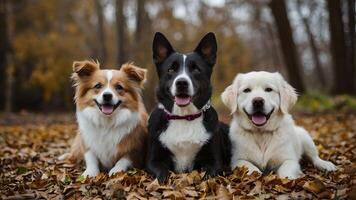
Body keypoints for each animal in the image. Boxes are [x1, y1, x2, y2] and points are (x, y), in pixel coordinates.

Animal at [146, 32, 229, 182]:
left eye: (196, 69)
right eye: (171, 69)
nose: (182, 83)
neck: (183, 116)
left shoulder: (213, 161)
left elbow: (208, 175)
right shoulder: (153, 161)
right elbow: (162, 173)